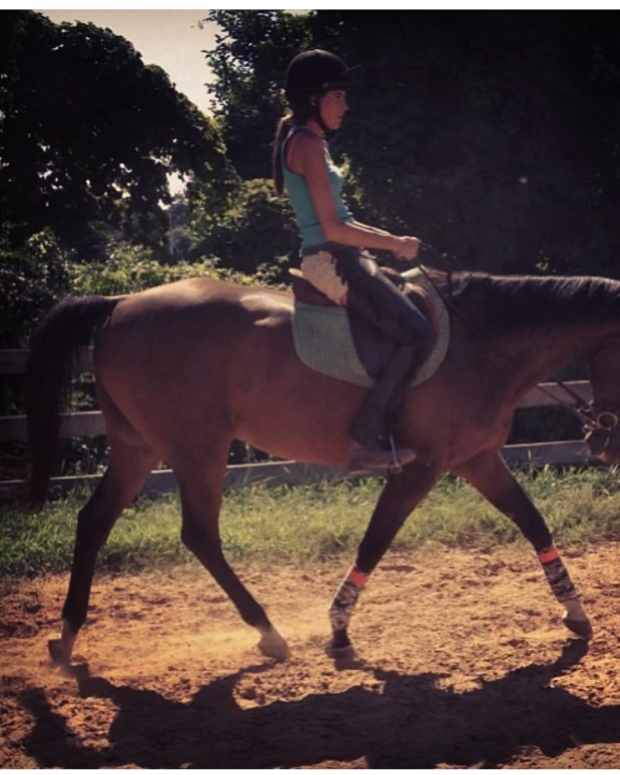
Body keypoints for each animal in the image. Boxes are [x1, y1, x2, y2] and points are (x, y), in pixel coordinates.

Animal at [25, 266, 620, 666]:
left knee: (95, 521)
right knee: (199, 535)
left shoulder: (477, 458)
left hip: (138, 447)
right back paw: (267, 631)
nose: (605, 442)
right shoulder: (420, 468)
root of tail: (121, 303)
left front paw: (576, 612)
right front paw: (338, 628)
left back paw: (68, 636)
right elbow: (374, 543)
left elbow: (533, 523)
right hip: (197, 448)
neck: (481, 345)